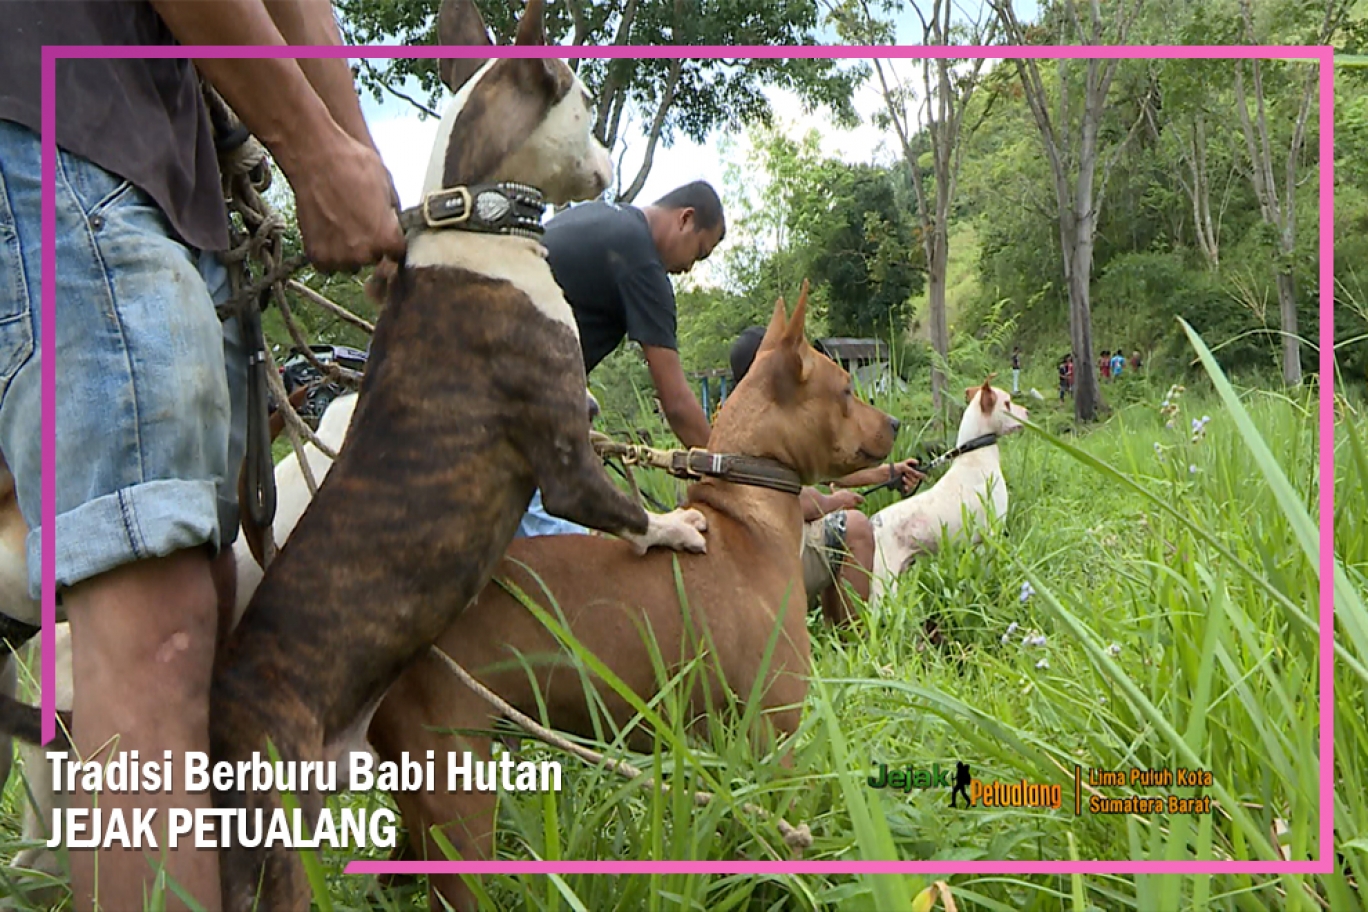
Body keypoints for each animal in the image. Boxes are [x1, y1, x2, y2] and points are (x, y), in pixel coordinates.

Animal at [366, 285, 897, 912]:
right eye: (845, 390)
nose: (894, 420)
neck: (745, 518)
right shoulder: (776, 734)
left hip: (424, 804)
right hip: (459, 802)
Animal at [870, 380, 1028, 601]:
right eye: (1007, 403)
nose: (1027, 412)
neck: (976, 454)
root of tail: (871, 524)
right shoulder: (993, 531)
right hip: (882, 583)